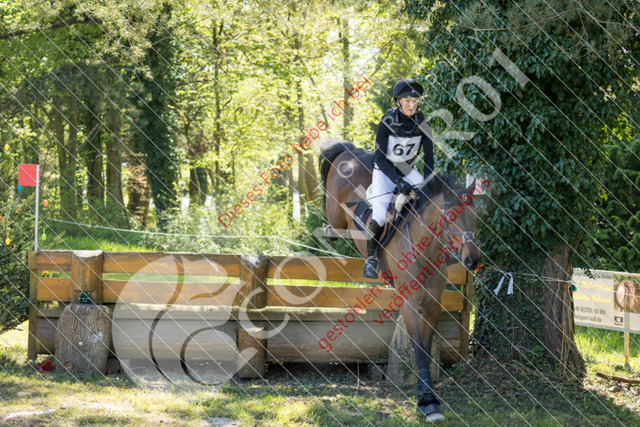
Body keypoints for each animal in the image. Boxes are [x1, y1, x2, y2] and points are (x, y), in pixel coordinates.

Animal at [319, 141, 481, 422]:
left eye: (474, 217)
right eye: (450, 217)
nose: (472, 260)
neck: (425, 248)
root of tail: (351, 151)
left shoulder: (433, 304)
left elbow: (425, 350)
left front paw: (425, 397)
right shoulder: (410, 303)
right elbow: (417, 349)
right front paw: (429, 403)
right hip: (335, 210)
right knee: (333, 225)